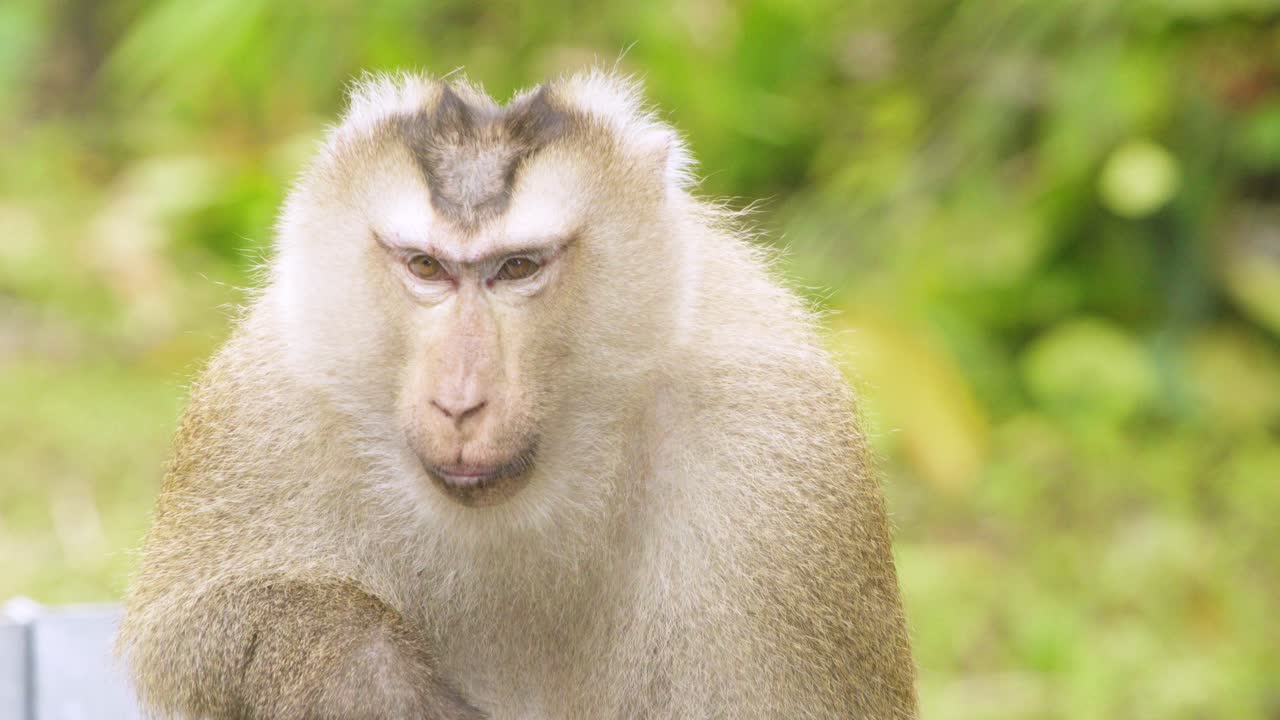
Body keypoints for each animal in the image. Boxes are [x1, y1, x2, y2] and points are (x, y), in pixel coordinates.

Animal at [117, 70, 918, 719]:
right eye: (427, 267)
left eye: (517, 268)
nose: (460, 404)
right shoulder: (267, 401)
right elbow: (185, 638)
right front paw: (364, 674)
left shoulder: (778, 450)